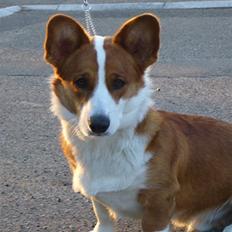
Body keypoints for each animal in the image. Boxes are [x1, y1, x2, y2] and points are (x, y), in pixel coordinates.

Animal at [44, 13, 232, 231]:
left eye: (119, 82)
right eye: (80, 81)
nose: (98, 125)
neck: (104, 147)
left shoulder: (158, 205)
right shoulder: (101, 204)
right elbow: (103, 218)